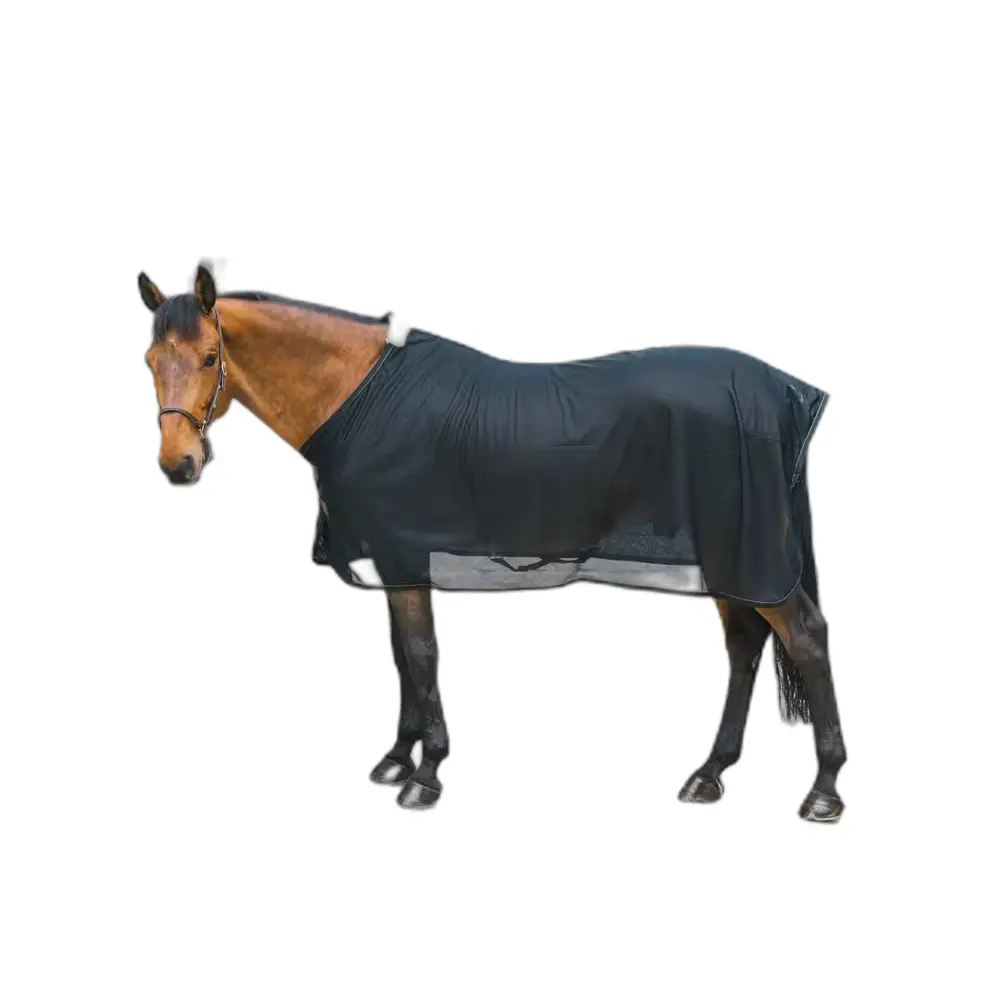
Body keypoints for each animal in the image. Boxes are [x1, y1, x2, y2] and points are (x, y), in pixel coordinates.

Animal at [139, 262, 847, 822]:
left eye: (209, 358)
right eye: (149, 362)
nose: (178, 465)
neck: (361, 398)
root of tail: (788, 395)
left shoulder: (405, 555)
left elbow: (422, 656)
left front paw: (427, 775)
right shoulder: (397, 564)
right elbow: (400, 658)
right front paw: (398, 758)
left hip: (748, 555)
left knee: (805, 637)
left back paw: (824, 790)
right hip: (728, 560)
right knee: (745, 646)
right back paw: (710, 773)